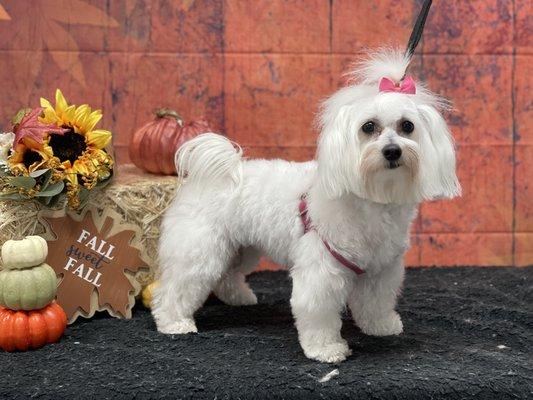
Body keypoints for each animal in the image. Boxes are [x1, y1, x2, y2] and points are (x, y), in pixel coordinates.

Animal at [152, 47, 460, 362]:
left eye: (407, 126)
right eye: (368, 127)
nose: (392, 151)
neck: (372, 201)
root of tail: (221, 172)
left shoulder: (381, 269)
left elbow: (376, 302)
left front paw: (381, 326)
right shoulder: (321, 269)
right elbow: (318, 309)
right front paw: (326, 349)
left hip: (240, 247)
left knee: (227, 275)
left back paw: (239, 298)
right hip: (200, 248)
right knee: (178, 286)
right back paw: (174, 322)